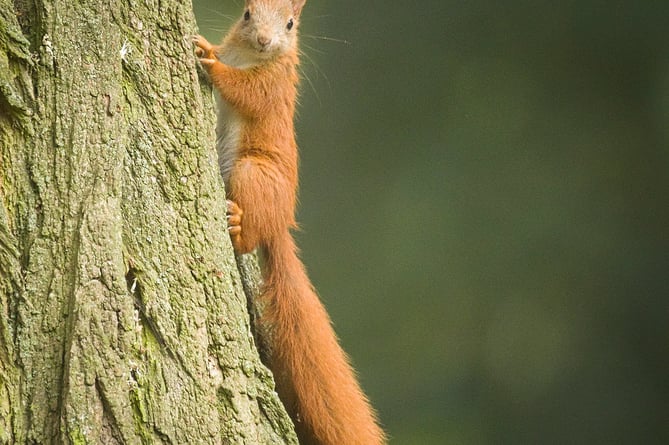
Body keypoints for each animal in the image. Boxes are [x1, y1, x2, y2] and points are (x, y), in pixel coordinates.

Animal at [192, 0, 386, 444]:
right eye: (247, 13)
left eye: (291, 24)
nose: (265, 40)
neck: (250, 56)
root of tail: (279, 222)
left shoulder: (273, 88)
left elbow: (244, 92)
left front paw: (209, 58)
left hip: (251, 172)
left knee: (248, 240)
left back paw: (236, 222)